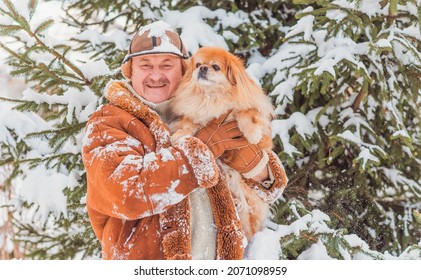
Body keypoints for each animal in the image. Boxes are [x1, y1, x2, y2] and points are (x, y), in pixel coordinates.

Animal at [169, 46, 274, 238]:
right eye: (198, 64)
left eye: (216, 67)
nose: (203, 69)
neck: (211, 97)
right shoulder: (194, 116)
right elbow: (189, 124)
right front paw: (180, 135)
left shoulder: (250, 110)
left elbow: (245, 114)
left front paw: (252, 134)